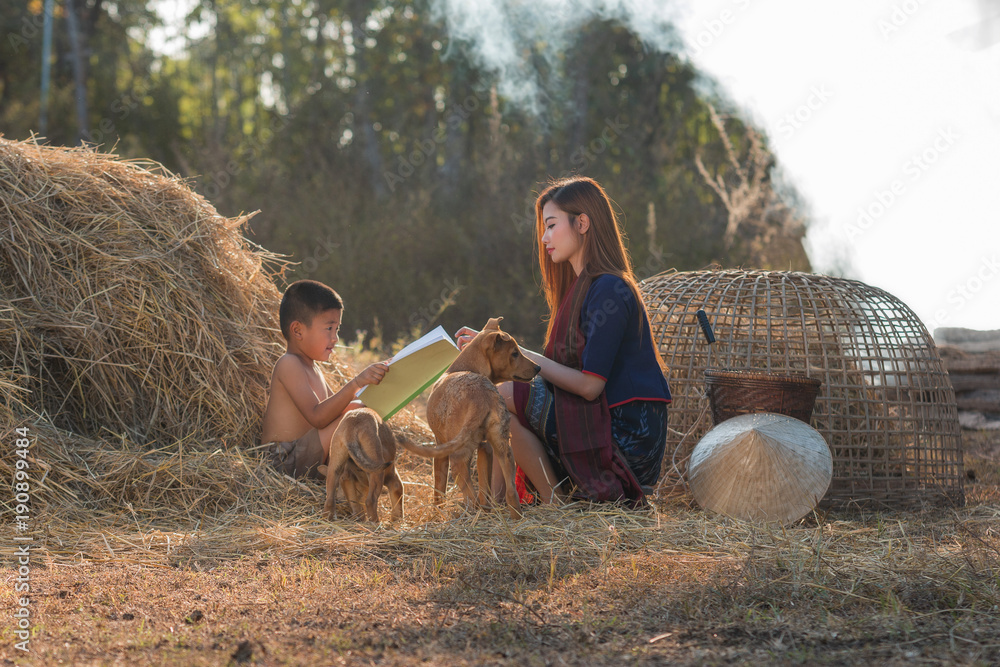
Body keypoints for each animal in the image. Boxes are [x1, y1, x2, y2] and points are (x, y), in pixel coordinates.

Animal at [398, 320, 540, 520]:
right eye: (514, 353)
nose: (538, 368)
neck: (464, 368)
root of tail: (481, 396)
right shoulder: (485, 448)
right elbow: (484, 489)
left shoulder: (440, 448)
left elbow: (439, 490)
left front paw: (436, 516)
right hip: (504, 449)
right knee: (510, 493)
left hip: (458, 458)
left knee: (471, 500)